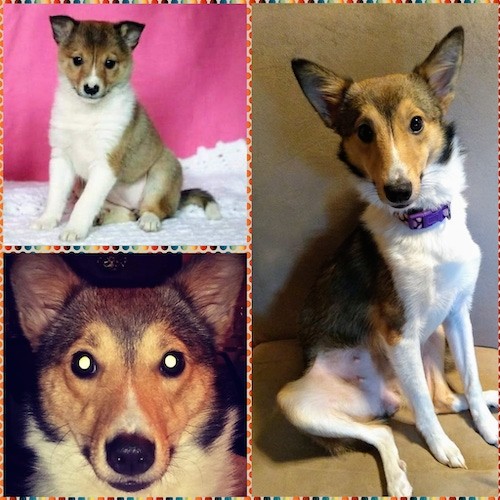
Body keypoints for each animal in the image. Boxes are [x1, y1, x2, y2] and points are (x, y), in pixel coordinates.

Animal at [276, 25, 498, 494]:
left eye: (416, 123)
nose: (397, 191)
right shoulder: (398, 332)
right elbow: (428, 413)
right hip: (297, 401)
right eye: (363, 131)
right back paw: (397, 479)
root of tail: (387, 398)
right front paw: (443, 448)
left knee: (442, 397)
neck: (424, 224)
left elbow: (469, 379)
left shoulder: (458, 314)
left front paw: (487, 428)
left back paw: (490, 399)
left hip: (435, 335)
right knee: (387, 428)